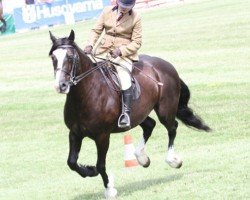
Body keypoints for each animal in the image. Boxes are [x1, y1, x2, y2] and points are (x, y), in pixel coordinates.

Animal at [48, 30, 211, 198]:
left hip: (165, 110)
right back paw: (142, 158)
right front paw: (89, 170)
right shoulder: (75, 133)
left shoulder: (102, 136)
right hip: (138, 114)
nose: (61, 86)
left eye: (70, 57)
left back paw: (172, 160)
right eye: (53, 58)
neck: (87, 94)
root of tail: (166, 64)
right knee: (150, 125)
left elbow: (100, 165)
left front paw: (109, 189)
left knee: (172, 128)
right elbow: (71, 162)